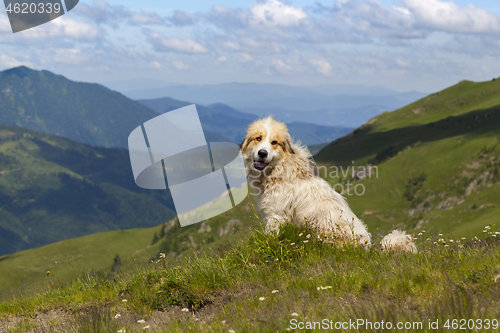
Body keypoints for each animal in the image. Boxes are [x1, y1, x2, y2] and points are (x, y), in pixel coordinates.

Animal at [240, 115, 416, 252]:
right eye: (258, 138)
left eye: (274, 142)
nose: (262, 153)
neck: (279, 169)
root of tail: (368, 247)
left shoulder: (276, 215)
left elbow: (271, 238)